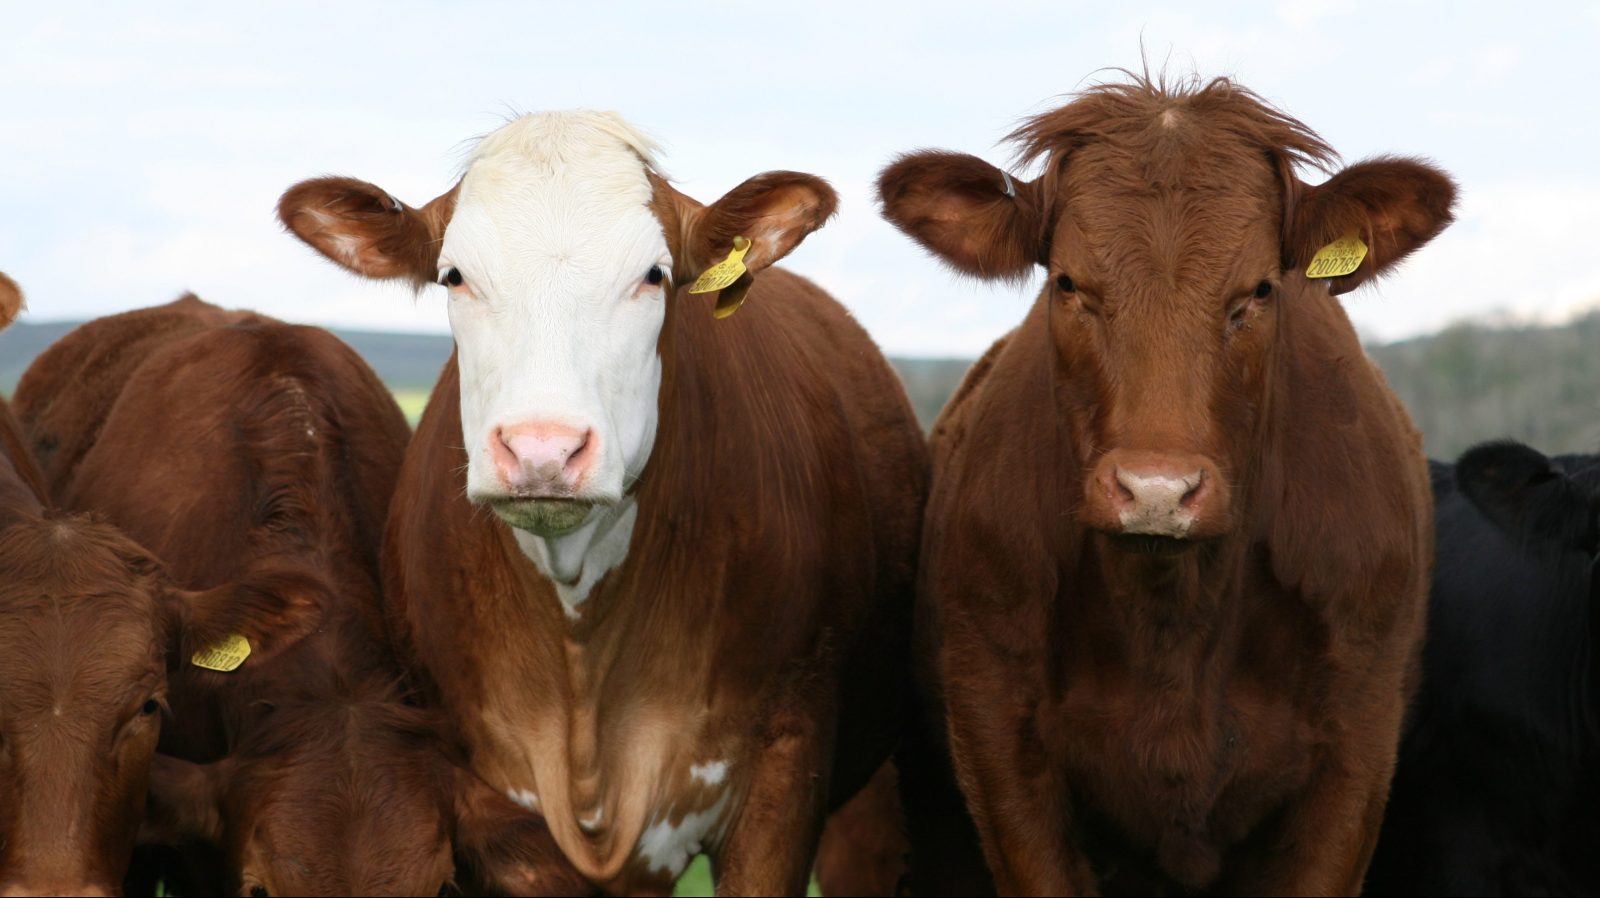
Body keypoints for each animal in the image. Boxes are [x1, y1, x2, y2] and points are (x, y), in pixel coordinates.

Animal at [883, 73, 1459, 889]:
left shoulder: (1357, 748)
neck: (1175, 622)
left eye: (1259, 290)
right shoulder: (997, 740)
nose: (1157, 490)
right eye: (1068, 282)